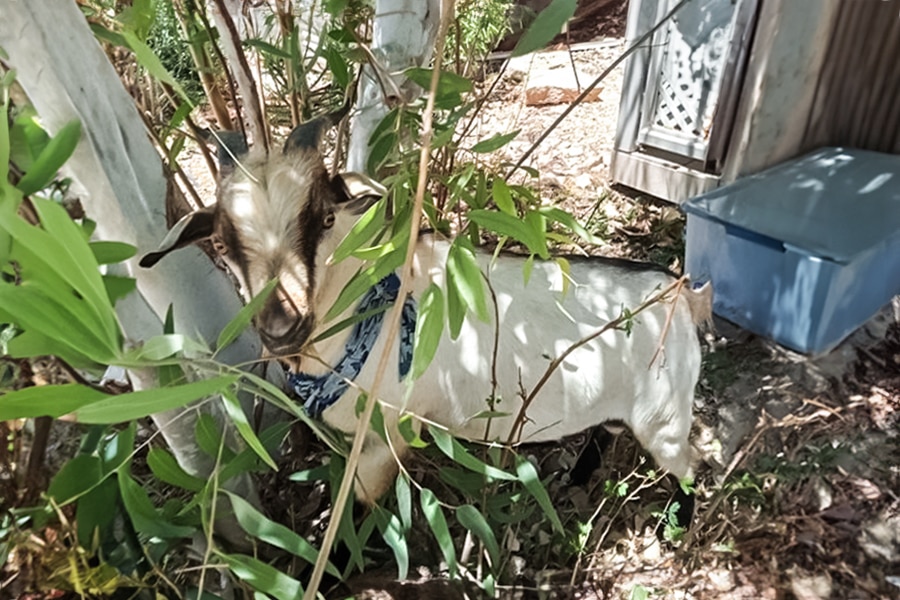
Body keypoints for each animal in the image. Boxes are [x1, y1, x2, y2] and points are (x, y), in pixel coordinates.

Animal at [141, 117, 712, 503]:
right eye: (220, 243)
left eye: (324, 218)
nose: (282, 326)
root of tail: (677, 290)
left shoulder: (381, 442)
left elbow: (356, 514)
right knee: (610, 432)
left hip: (664, 417)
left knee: (692, 465)